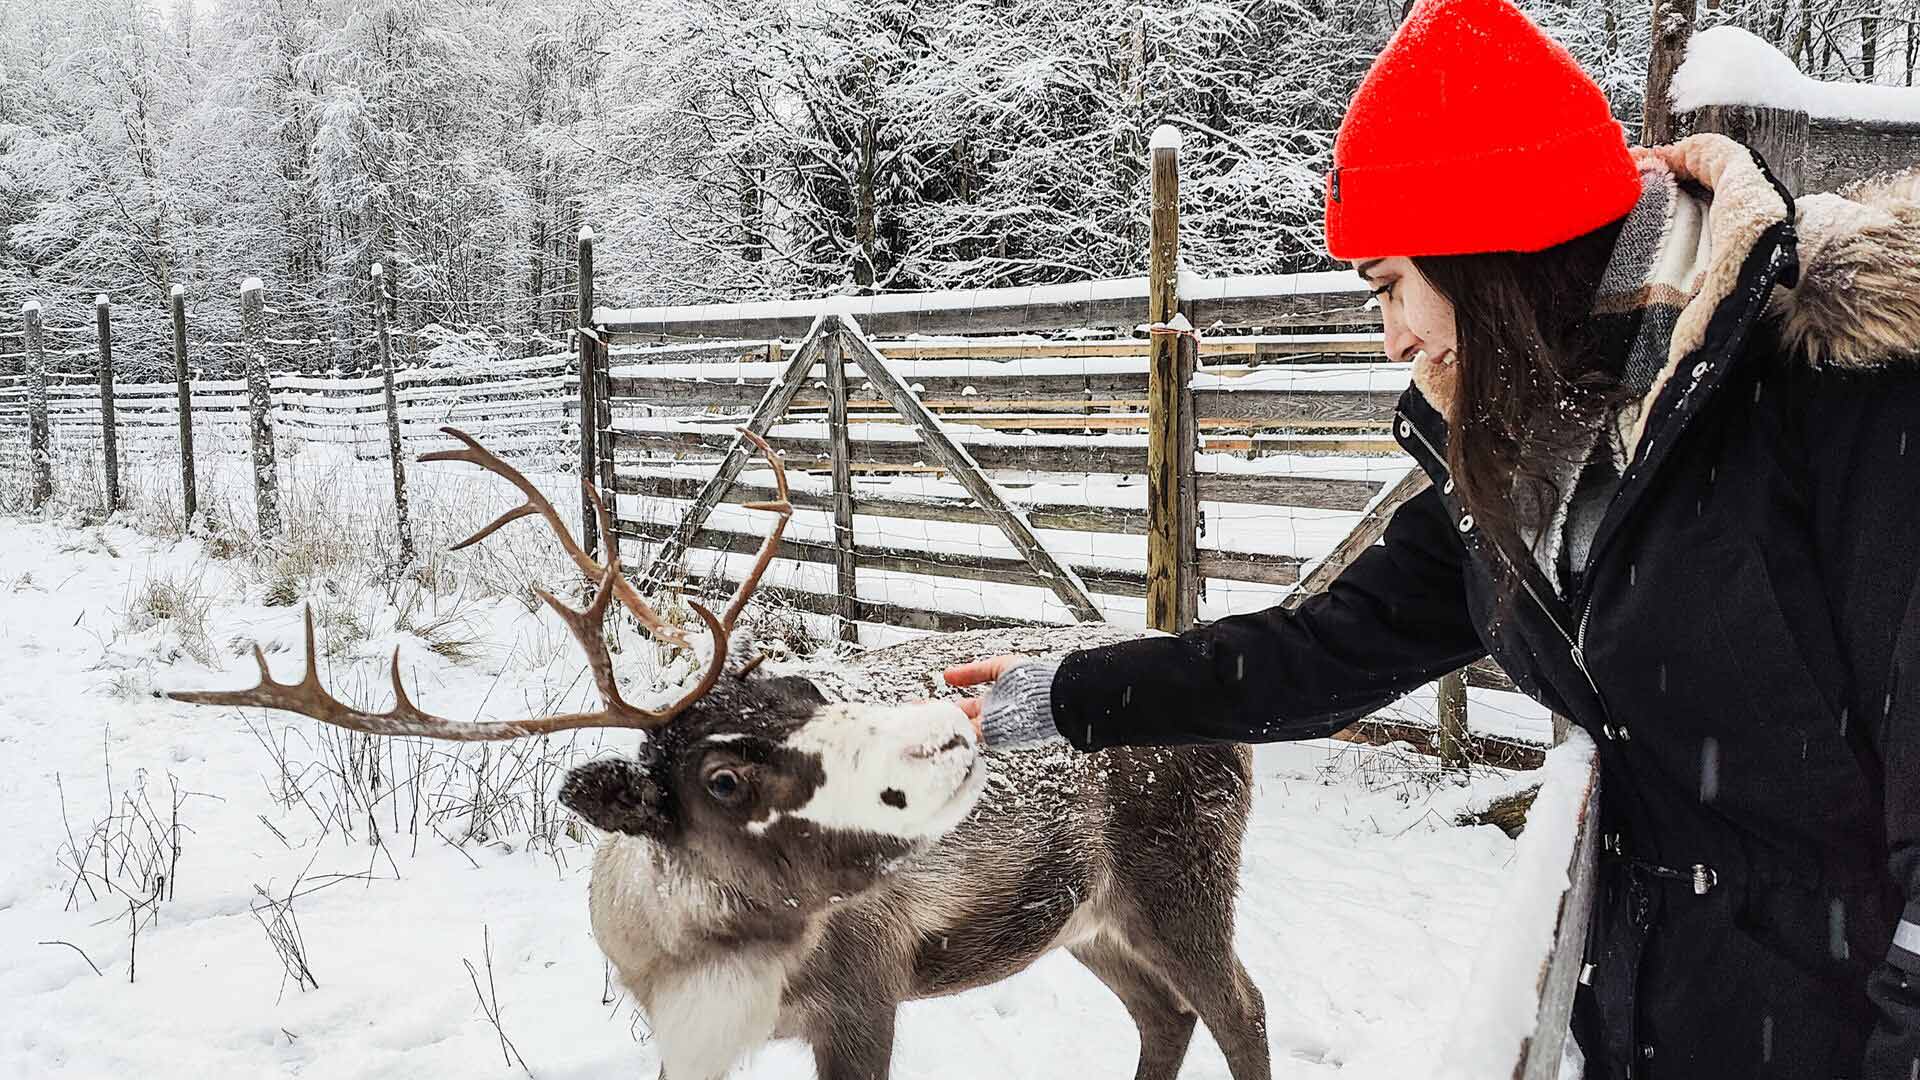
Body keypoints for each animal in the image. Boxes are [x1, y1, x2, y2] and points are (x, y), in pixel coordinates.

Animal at [170, 427, 1271, 1080]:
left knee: (1239, 1008)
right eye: (724, 778)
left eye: (806, 692)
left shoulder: (864, 999)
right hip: (1088, 918)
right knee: (1164, 1016)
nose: (952, 731)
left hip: (1183, 878)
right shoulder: (687, 1034)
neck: (711, 956)